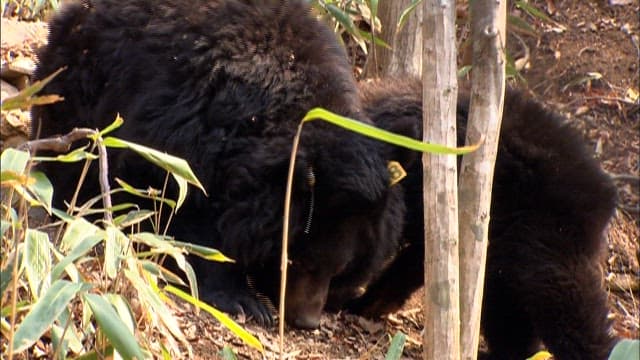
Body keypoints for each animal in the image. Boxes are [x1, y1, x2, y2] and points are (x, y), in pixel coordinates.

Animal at [31, 0, 404, 330]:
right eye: (297, 260)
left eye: (340, 268)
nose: (306, 321)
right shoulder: (179, 123)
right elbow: (178, 202)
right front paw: (244, 301)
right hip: (78, 85)